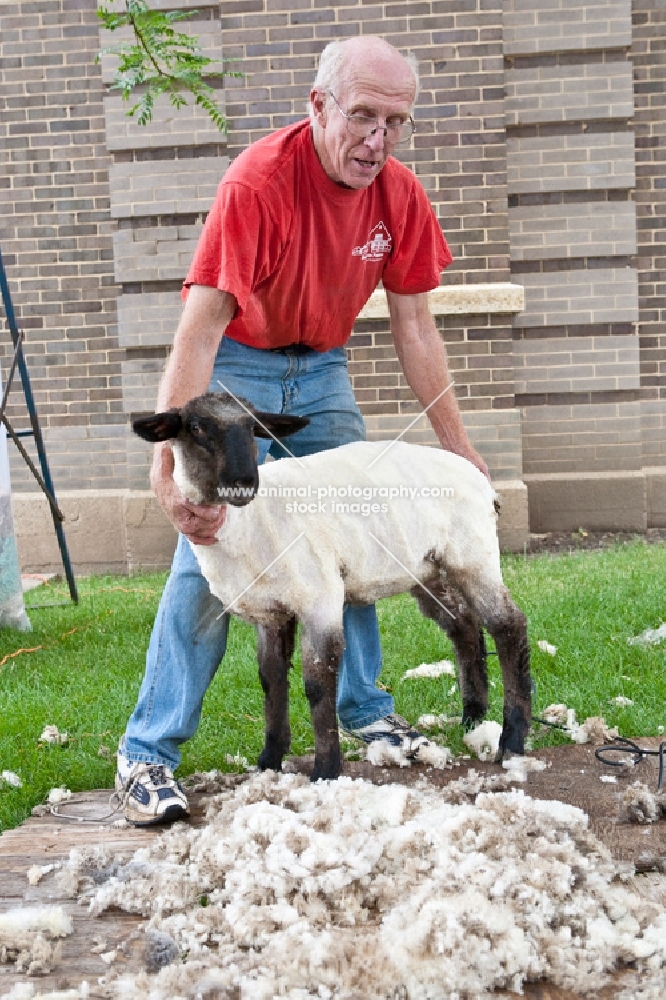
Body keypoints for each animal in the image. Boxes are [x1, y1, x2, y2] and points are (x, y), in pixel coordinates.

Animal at [134, 390, 528, 780]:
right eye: (196, 427)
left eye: (253, 426)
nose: (244, 483)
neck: (250, 525)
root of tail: (477, 476)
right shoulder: (270, 614)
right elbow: (271, 679)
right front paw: (269, 760)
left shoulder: (319, 598)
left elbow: (318, 684)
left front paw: (325, 768)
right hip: (429, 570)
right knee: (465, 628)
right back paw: (472, 719)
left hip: (473, 556)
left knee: (509, 626)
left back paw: (512, 739)